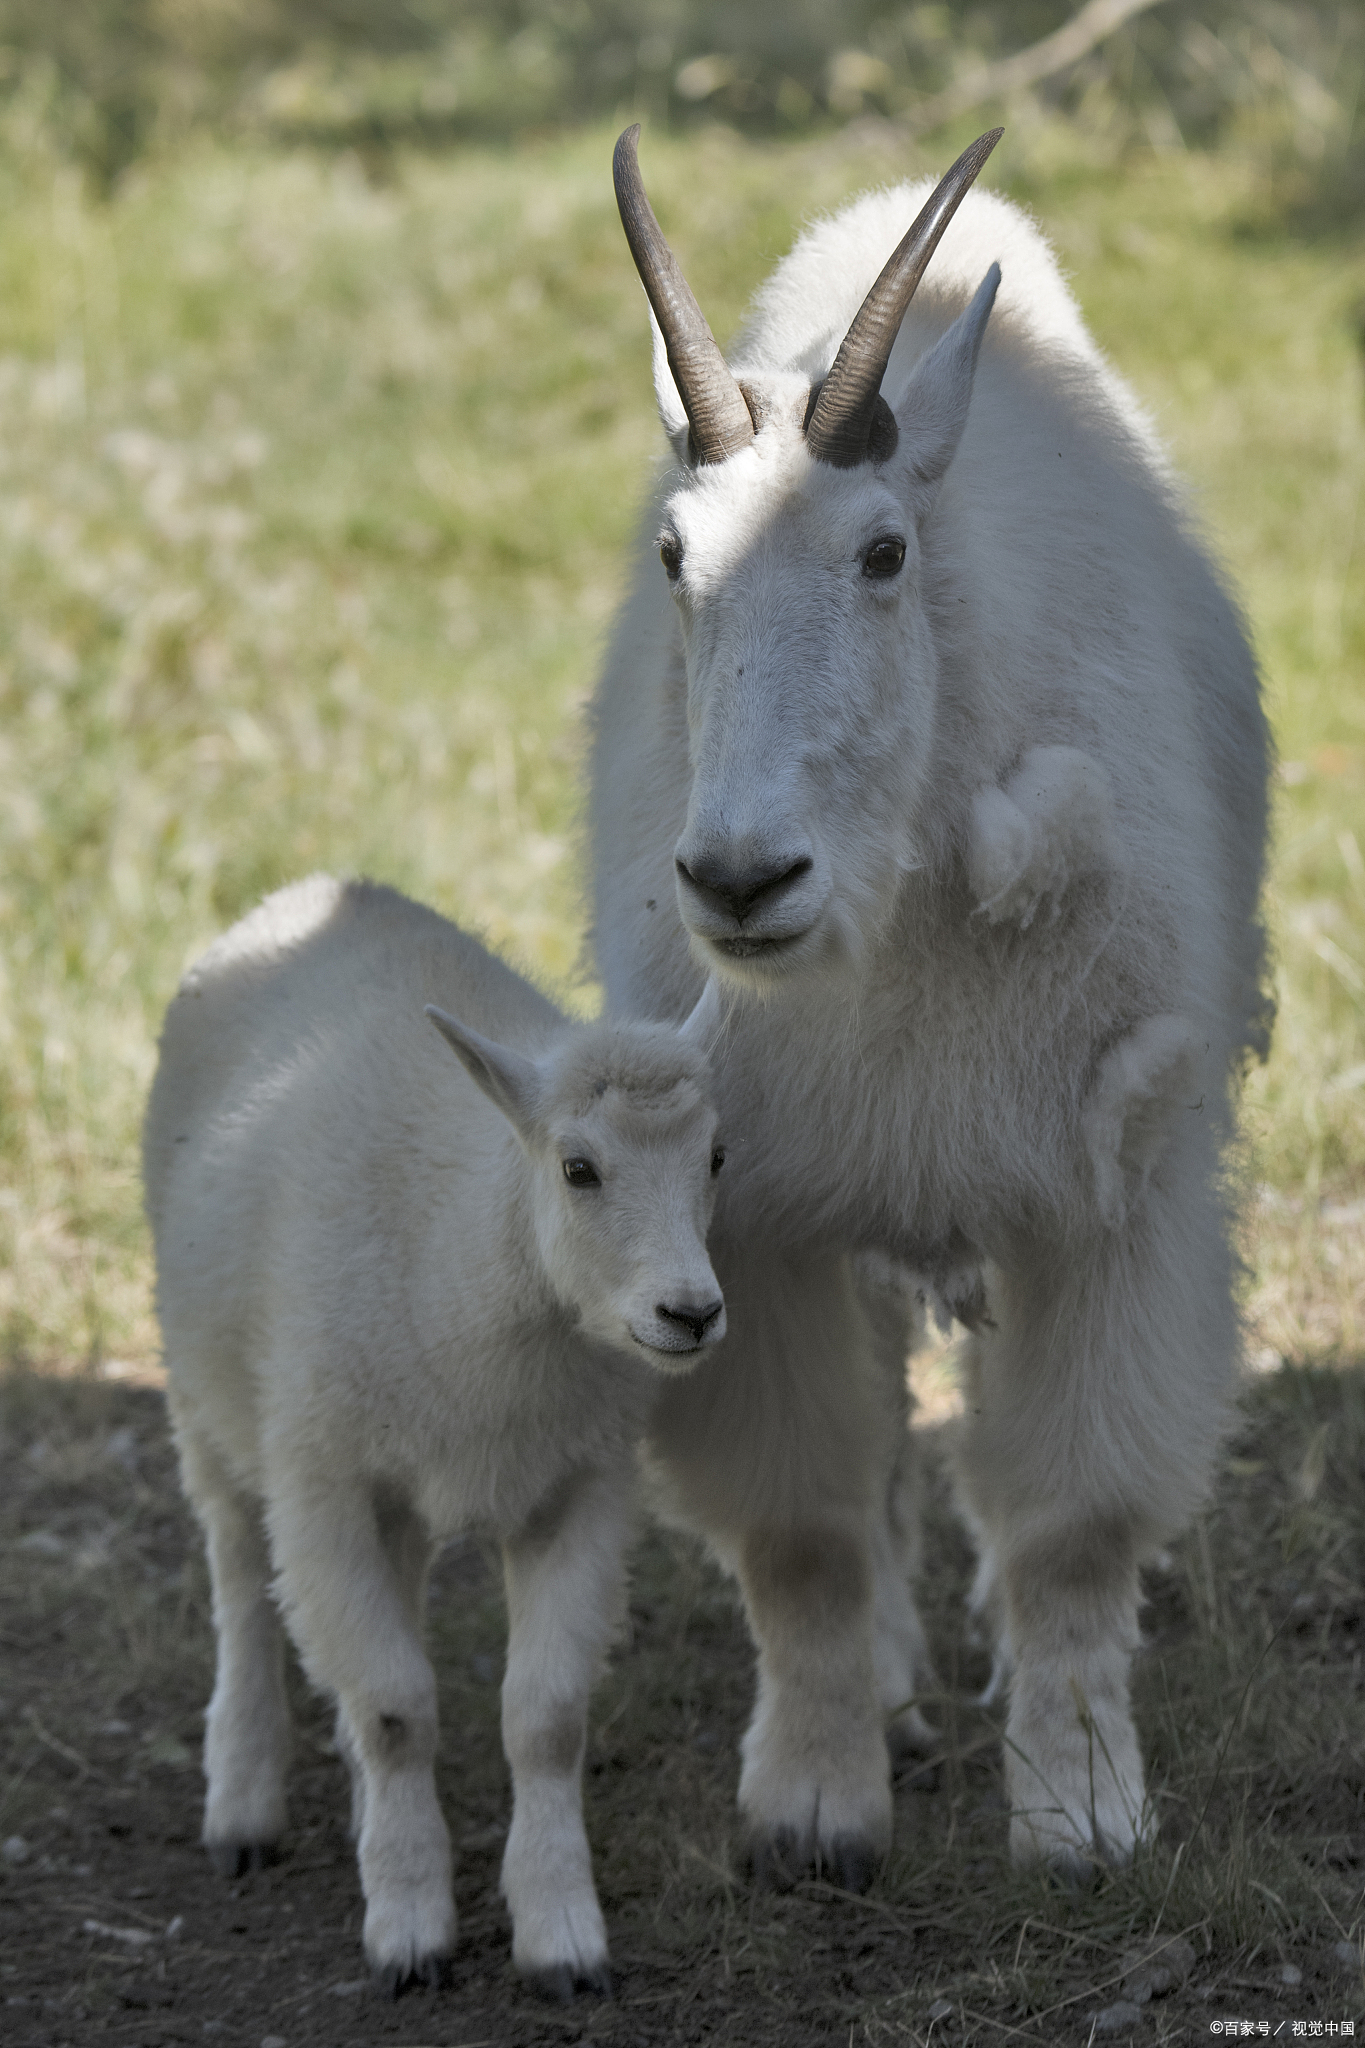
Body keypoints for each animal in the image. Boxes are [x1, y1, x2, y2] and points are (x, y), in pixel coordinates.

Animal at [593, 132, 1277, 1875]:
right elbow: (805, 1528)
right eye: (674, 556)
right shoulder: (751, 1218)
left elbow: (1074, 1523)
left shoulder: (1113, 1194)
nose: (741, 880)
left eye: (884, 554)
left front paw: (1081, 1810)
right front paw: (814, 1808)